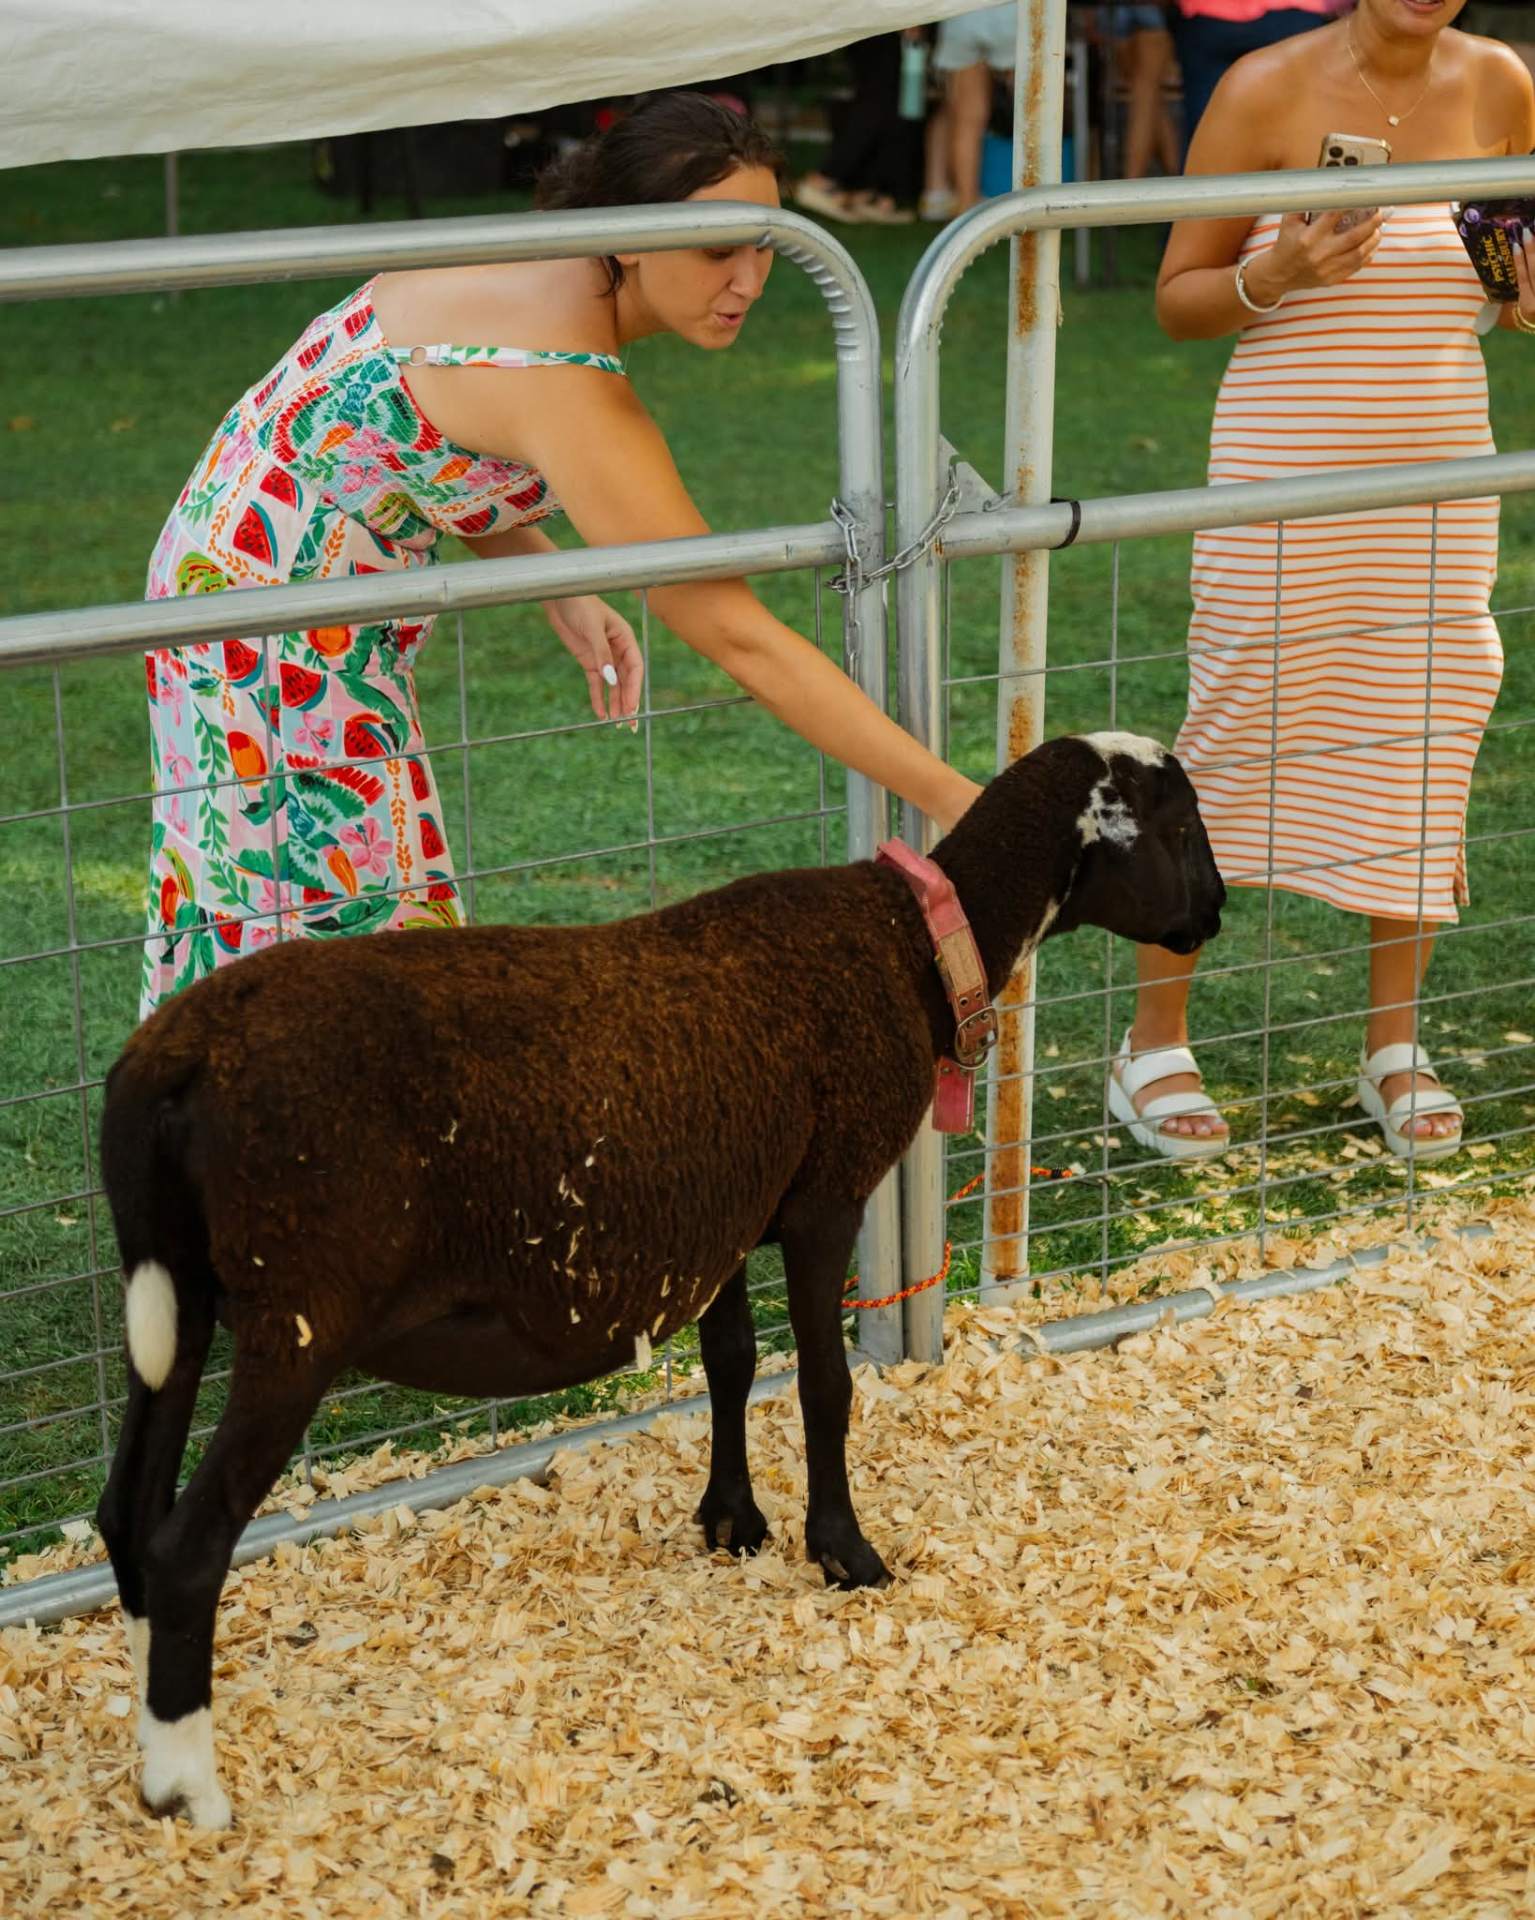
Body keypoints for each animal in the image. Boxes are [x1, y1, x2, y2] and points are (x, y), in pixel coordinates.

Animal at [94, 730, 1224, 1827]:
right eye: (1176, 828)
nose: (1214, 913)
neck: (918, 940)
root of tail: (170, 1059)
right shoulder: (823, 1198)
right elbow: (824, 1387)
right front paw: (842, 1552)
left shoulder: (723, 1208)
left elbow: (731, 1362)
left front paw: (729, 1522)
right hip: (297, 1314)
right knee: (188, 1545)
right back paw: (186, 1784)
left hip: (177, 1302)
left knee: (126, 1515)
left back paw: (150, 1712)